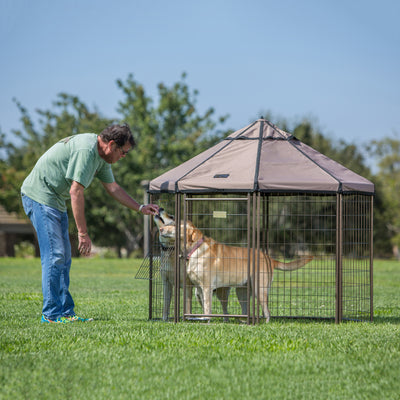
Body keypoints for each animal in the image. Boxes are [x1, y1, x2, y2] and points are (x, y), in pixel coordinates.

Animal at [159, 212, 312, 322]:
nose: (160, 229)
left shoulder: (207, 287)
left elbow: (207, 308)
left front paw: (206, 321)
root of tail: (269, 258)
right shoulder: (198, 288)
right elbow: (204, 307)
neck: (195, 248)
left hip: (260, 289)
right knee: (246, 310)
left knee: (267, 312)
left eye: (174, 225)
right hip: (242, 292)